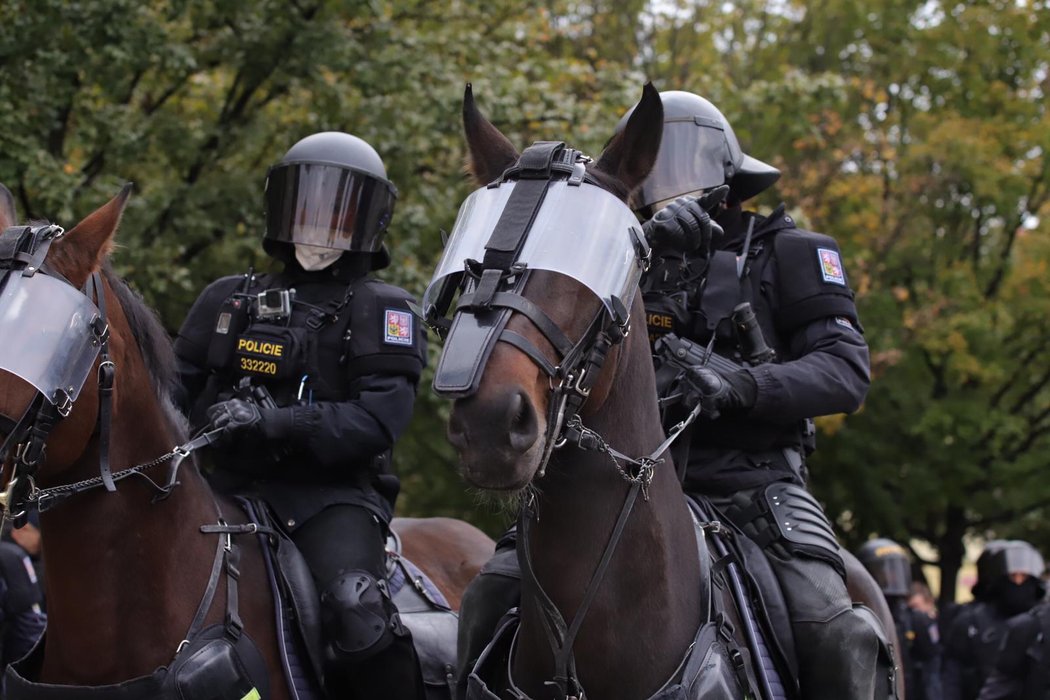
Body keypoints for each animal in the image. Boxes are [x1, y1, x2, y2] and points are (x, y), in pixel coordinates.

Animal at [424, 86, 902, 700]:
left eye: (601, 266)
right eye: (471, 267)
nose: (491, 424)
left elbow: (840, 361)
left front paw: (721, 384)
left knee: (843, 634)